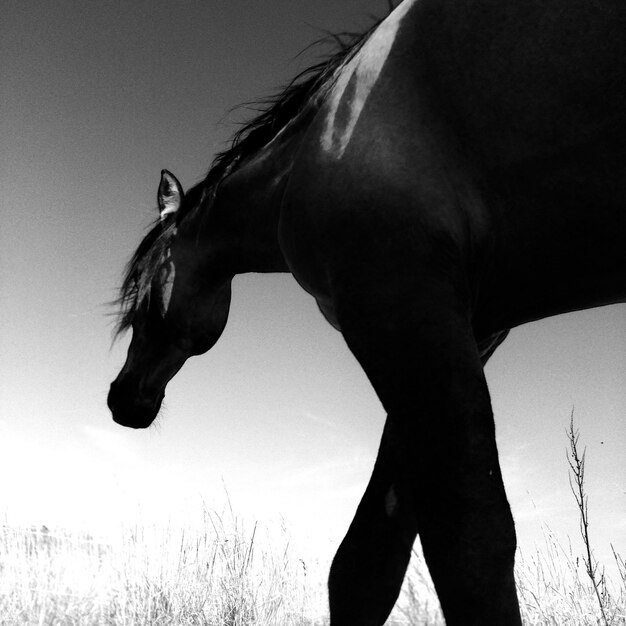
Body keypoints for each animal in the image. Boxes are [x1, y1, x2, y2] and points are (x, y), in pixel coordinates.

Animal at [106, 2, 624, 620]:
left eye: (141, 291)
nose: (121, 398)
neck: (311, 149)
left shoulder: (394, 301)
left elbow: (469, 540)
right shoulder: (465, 328)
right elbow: (369, 558)